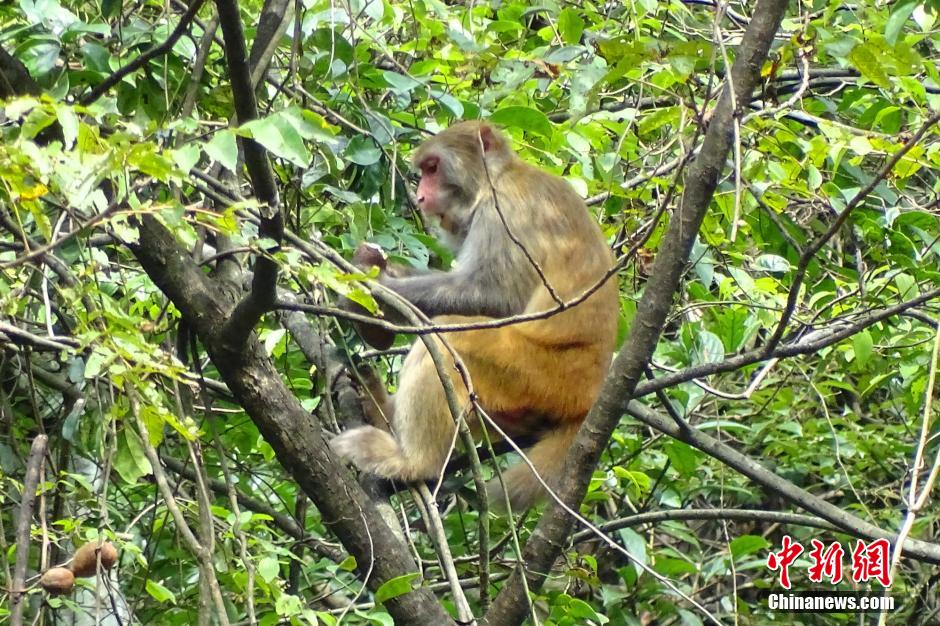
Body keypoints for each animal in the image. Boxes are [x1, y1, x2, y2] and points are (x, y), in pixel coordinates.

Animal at [330, 119, 616, 510]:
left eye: (433, 168)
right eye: (422, 172)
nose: (420, 197)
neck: (499, 177)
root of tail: (589, 394)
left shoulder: (505, 211)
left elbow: (498, 300)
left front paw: (370, 288)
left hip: (535, 375)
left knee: (449, 337)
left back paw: (412, 461)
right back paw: (383, 413)